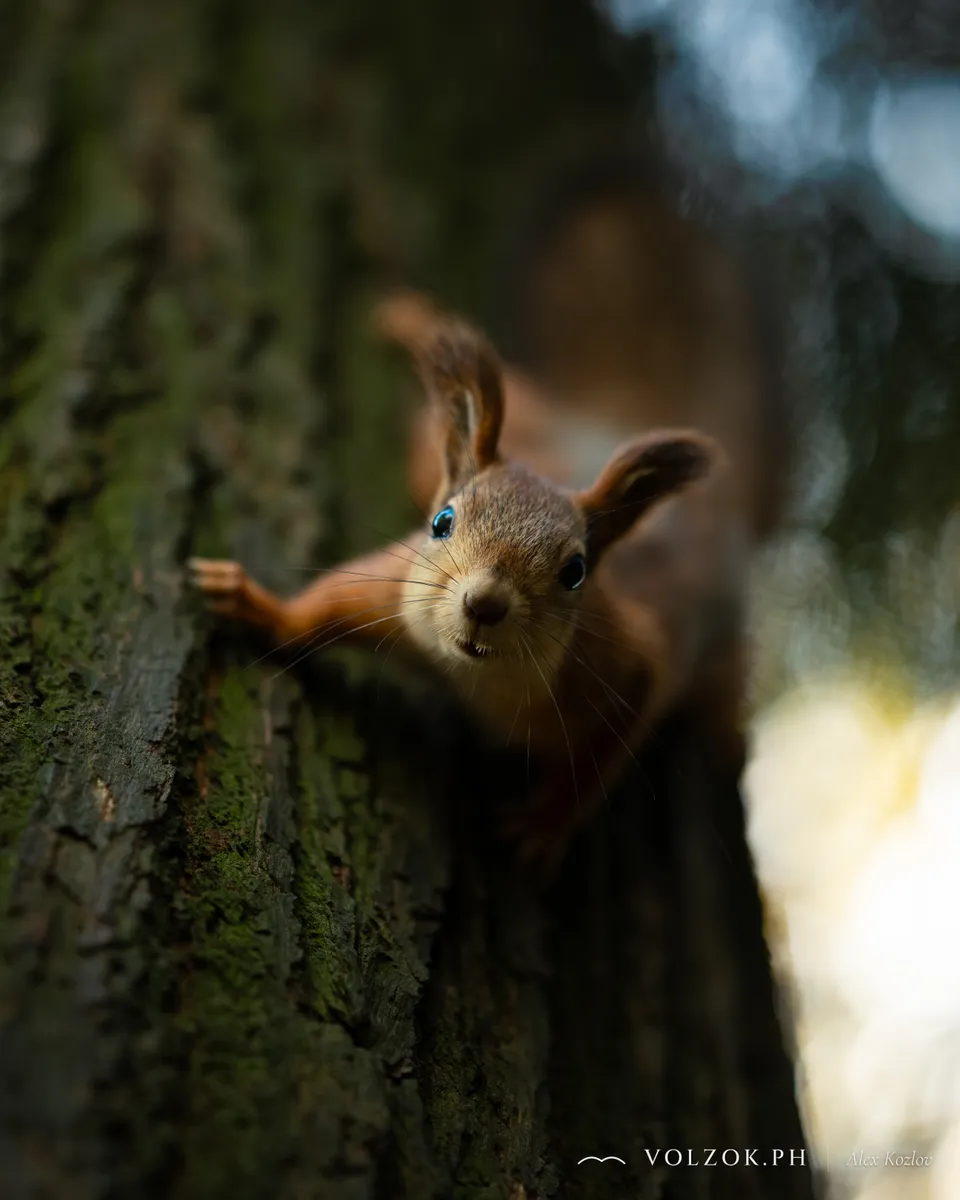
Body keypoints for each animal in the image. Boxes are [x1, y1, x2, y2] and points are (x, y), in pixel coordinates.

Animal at [190, 164, 783, 866]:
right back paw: (410, 319)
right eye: (442, 524)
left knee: (726, 675)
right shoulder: (395, 590)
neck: (477, 678)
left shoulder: (628, 668)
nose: (484, 603)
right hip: (496, 430)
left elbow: (599, 764)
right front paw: (259, 606)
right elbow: (323, 606)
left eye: (577, 572)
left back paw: (727, 736)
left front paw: (547, 823)